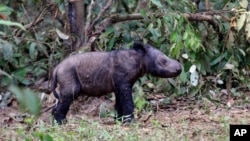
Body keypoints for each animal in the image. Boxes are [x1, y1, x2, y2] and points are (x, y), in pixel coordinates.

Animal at [51, 41, 182, 124]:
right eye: (163, 61)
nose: (179, 69)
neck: (140, 58)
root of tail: (56, 69)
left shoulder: (120, 85)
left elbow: (120, 102)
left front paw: (120, 121)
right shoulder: (123, 83)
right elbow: (128, 102)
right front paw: (131, 122)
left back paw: (56, 123)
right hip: (67, 72)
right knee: (70, 94)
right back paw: (62, 123)